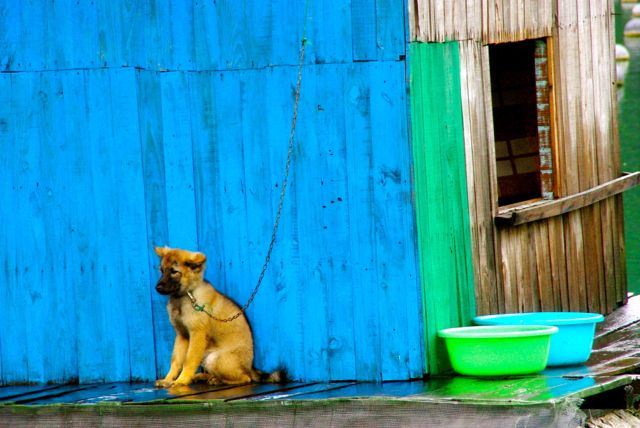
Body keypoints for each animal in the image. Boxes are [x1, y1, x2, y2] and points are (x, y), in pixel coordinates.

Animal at [152, 244, 282, 388]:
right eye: (162, 271)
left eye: (174, 272)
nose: (157, 288)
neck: (185, 295)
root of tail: (250, 368)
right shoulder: (182, 336)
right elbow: (175, 361)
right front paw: (168, 379)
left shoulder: (197, 334)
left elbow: (188, 360)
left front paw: (182, 380)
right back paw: (202, 377)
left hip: (213, 358)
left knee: (246, 378)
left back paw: (217, 380)